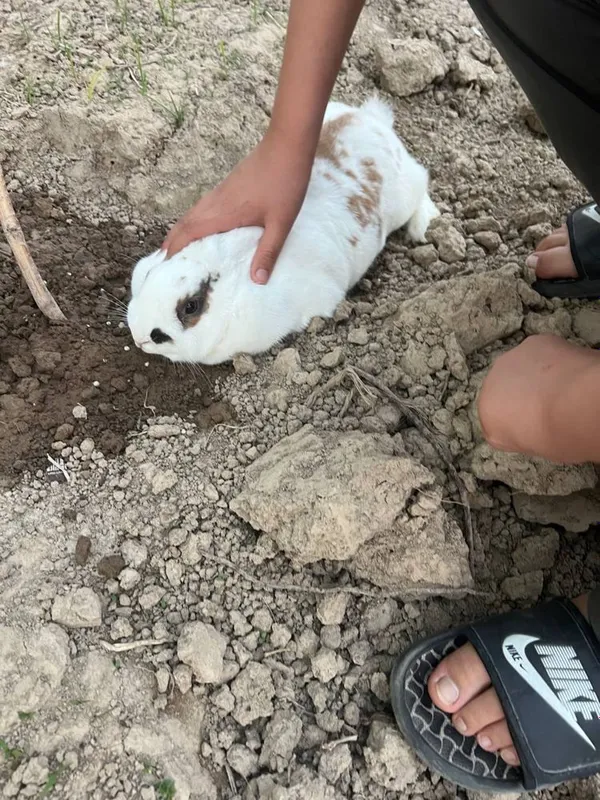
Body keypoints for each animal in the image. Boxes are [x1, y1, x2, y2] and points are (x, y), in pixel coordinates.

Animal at [127, 97, 439, 365]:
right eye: (149, 274)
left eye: (191, 306)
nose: (140, 337)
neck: (229, 273)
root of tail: (373, 122)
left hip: (405, 193)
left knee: (422, 180)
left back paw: (422, 227)